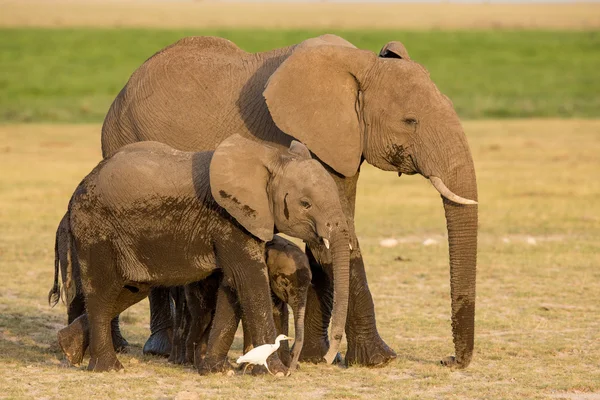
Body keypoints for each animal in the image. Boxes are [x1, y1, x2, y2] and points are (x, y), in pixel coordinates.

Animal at [101, 35, 480, 368]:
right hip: (121, 138)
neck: (360, 64)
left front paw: (317, 357)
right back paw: (151, 349)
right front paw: (379, 361)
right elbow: (336, 240)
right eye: (410, 121)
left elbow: (328, 237)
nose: (449, 361)